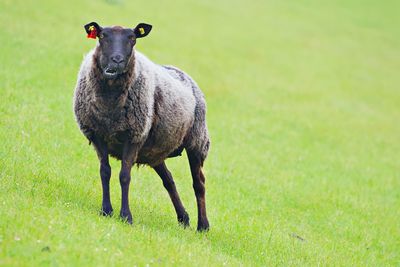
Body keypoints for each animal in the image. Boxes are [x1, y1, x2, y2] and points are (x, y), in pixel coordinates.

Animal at [73, 22, 209, 232]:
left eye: (132, 38)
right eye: (102, 36)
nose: (117, 60)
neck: (109, 106)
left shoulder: (133, 137)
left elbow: (124, 176)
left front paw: (126, 216)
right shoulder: (97, 135)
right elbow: (105, 172)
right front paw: (106, 211)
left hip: (197, 141)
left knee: (199, 183)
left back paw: (203, 226)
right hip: (155, 151)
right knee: (169, 180)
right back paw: (183, 218)